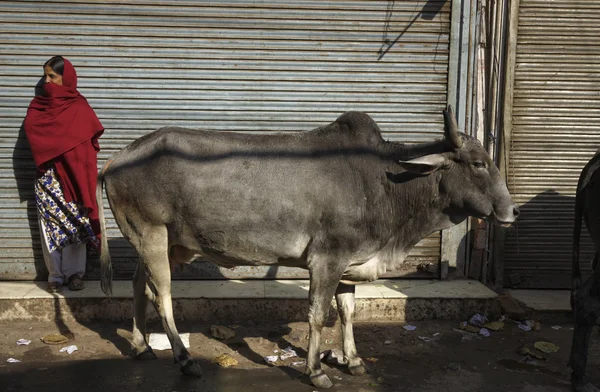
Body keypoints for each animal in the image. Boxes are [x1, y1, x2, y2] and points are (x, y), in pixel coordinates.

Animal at [96, 105, 516, 388]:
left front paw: (353, 360)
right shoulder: (327, 259)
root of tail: (116, 158)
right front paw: (315, 371)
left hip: (159, 243)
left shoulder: (350, 262)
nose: (510, 211)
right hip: (151, 234)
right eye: (478, 163)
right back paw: (184, 360)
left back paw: (140, 345)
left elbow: (347, 312)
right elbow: (317, 315)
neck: (383, 182)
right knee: (161, 294)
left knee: (138, 284)